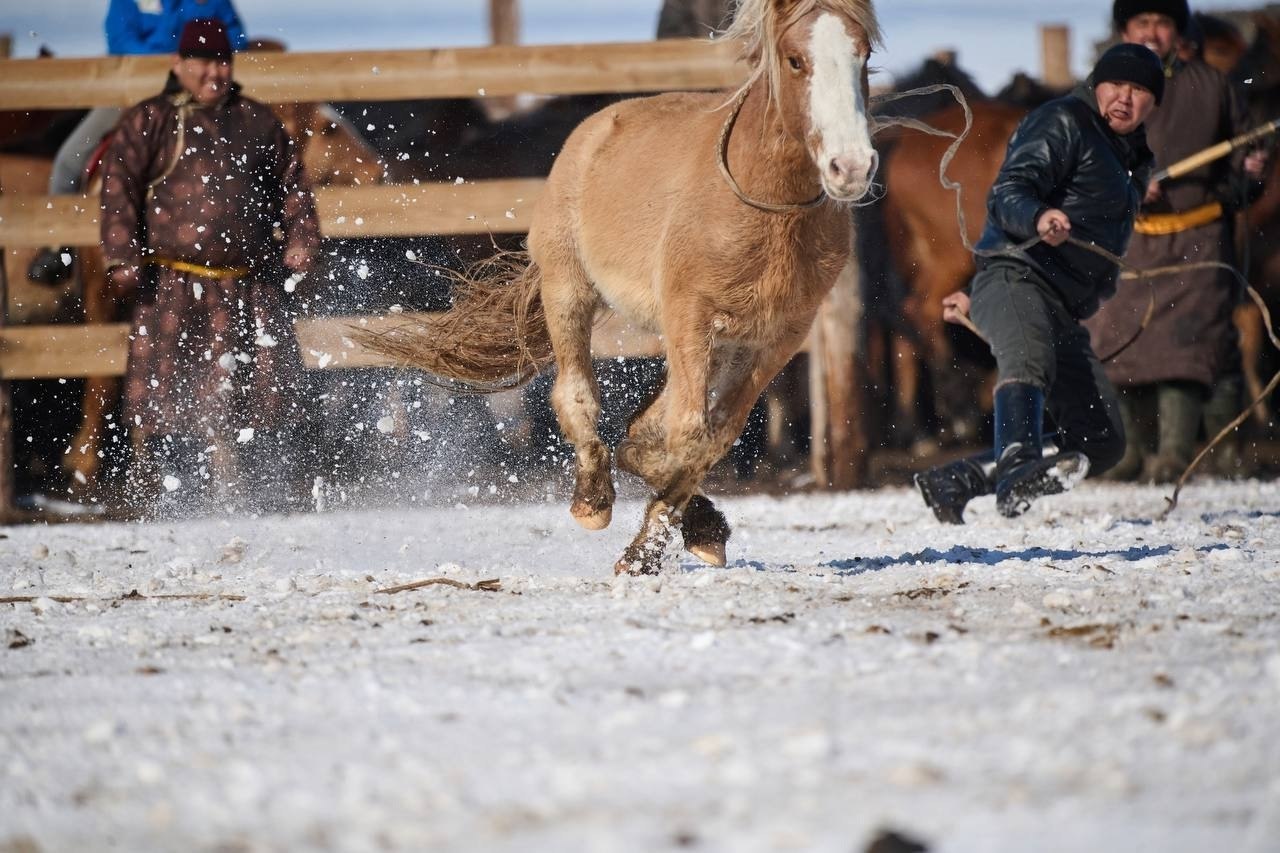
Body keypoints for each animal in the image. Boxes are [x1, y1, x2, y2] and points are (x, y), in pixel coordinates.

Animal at [363, 0, 882, 574]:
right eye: (795, 60)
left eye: (864, 54)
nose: (851, 166)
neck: (762, 205)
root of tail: (592, 130)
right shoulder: (689, 318)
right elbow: (688, 434)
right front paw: (644, 552)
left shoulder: (776, 339)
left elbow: (710, 437)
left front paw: (684, 529)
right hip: (568, 291)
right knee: (576, 395)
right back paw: (592, 499)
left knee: (651, 423)